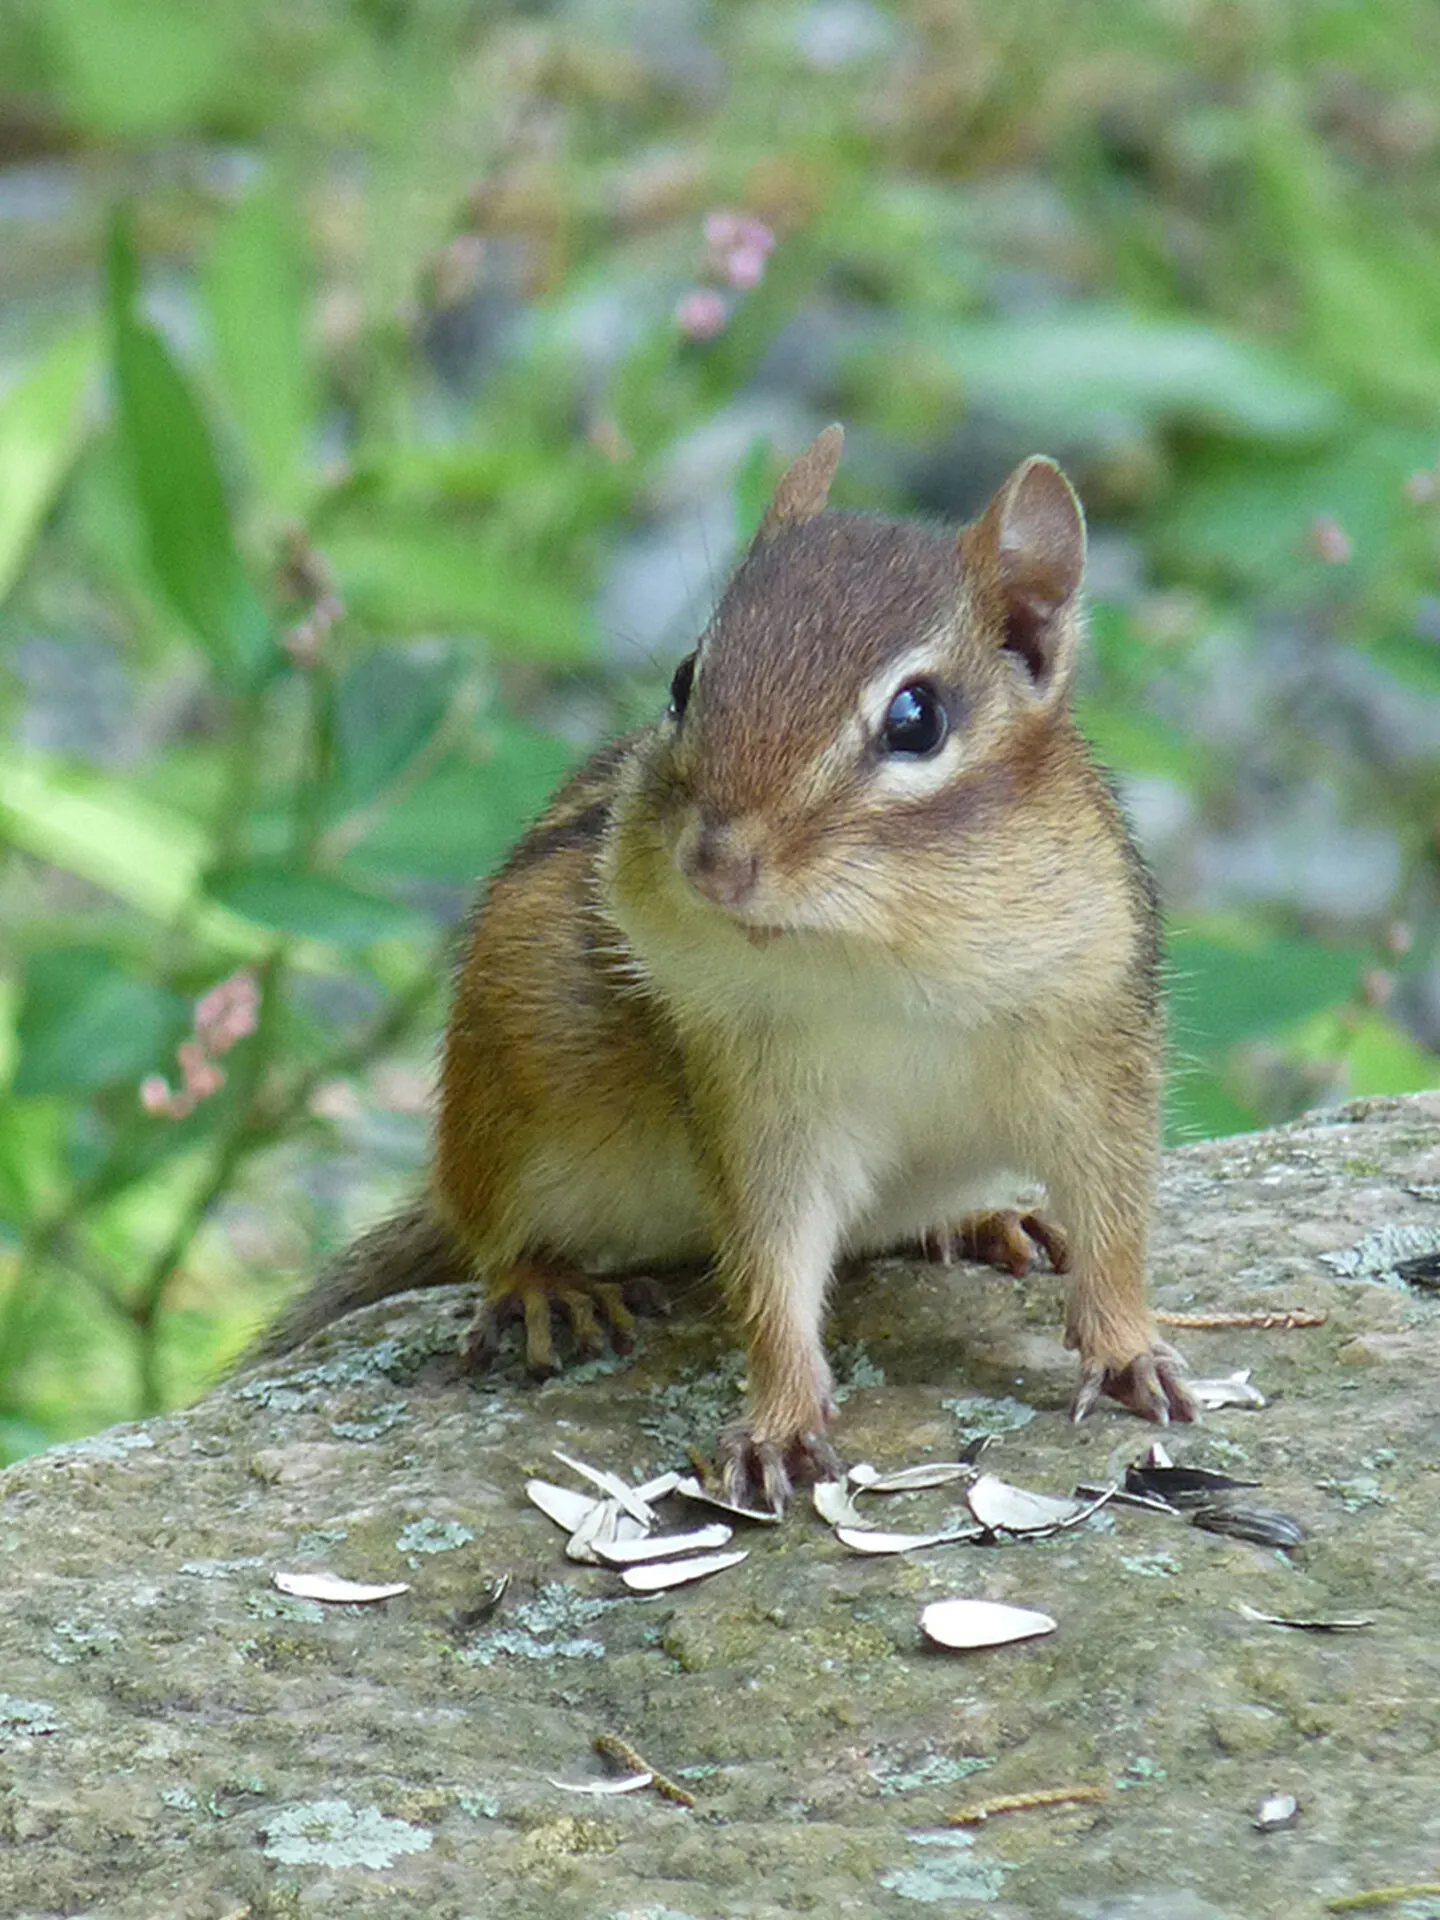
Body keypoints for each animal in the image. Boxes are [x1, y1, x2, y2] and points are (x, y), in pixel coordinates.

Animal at [250, 425, 1195, 1508]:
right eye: (683, 679)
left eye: (917, 718)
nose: (714, 861)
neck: (890, 950)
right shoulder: (754, 1094)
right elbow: (771, 1263)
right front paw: (779, 1420)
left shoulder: (1096, 1046)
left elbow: (1115, 1220)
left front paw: (1126, 1350)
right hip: (504, 1086)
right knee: (490, 1231)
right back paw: (547, 1286)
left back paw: (983, 1221)